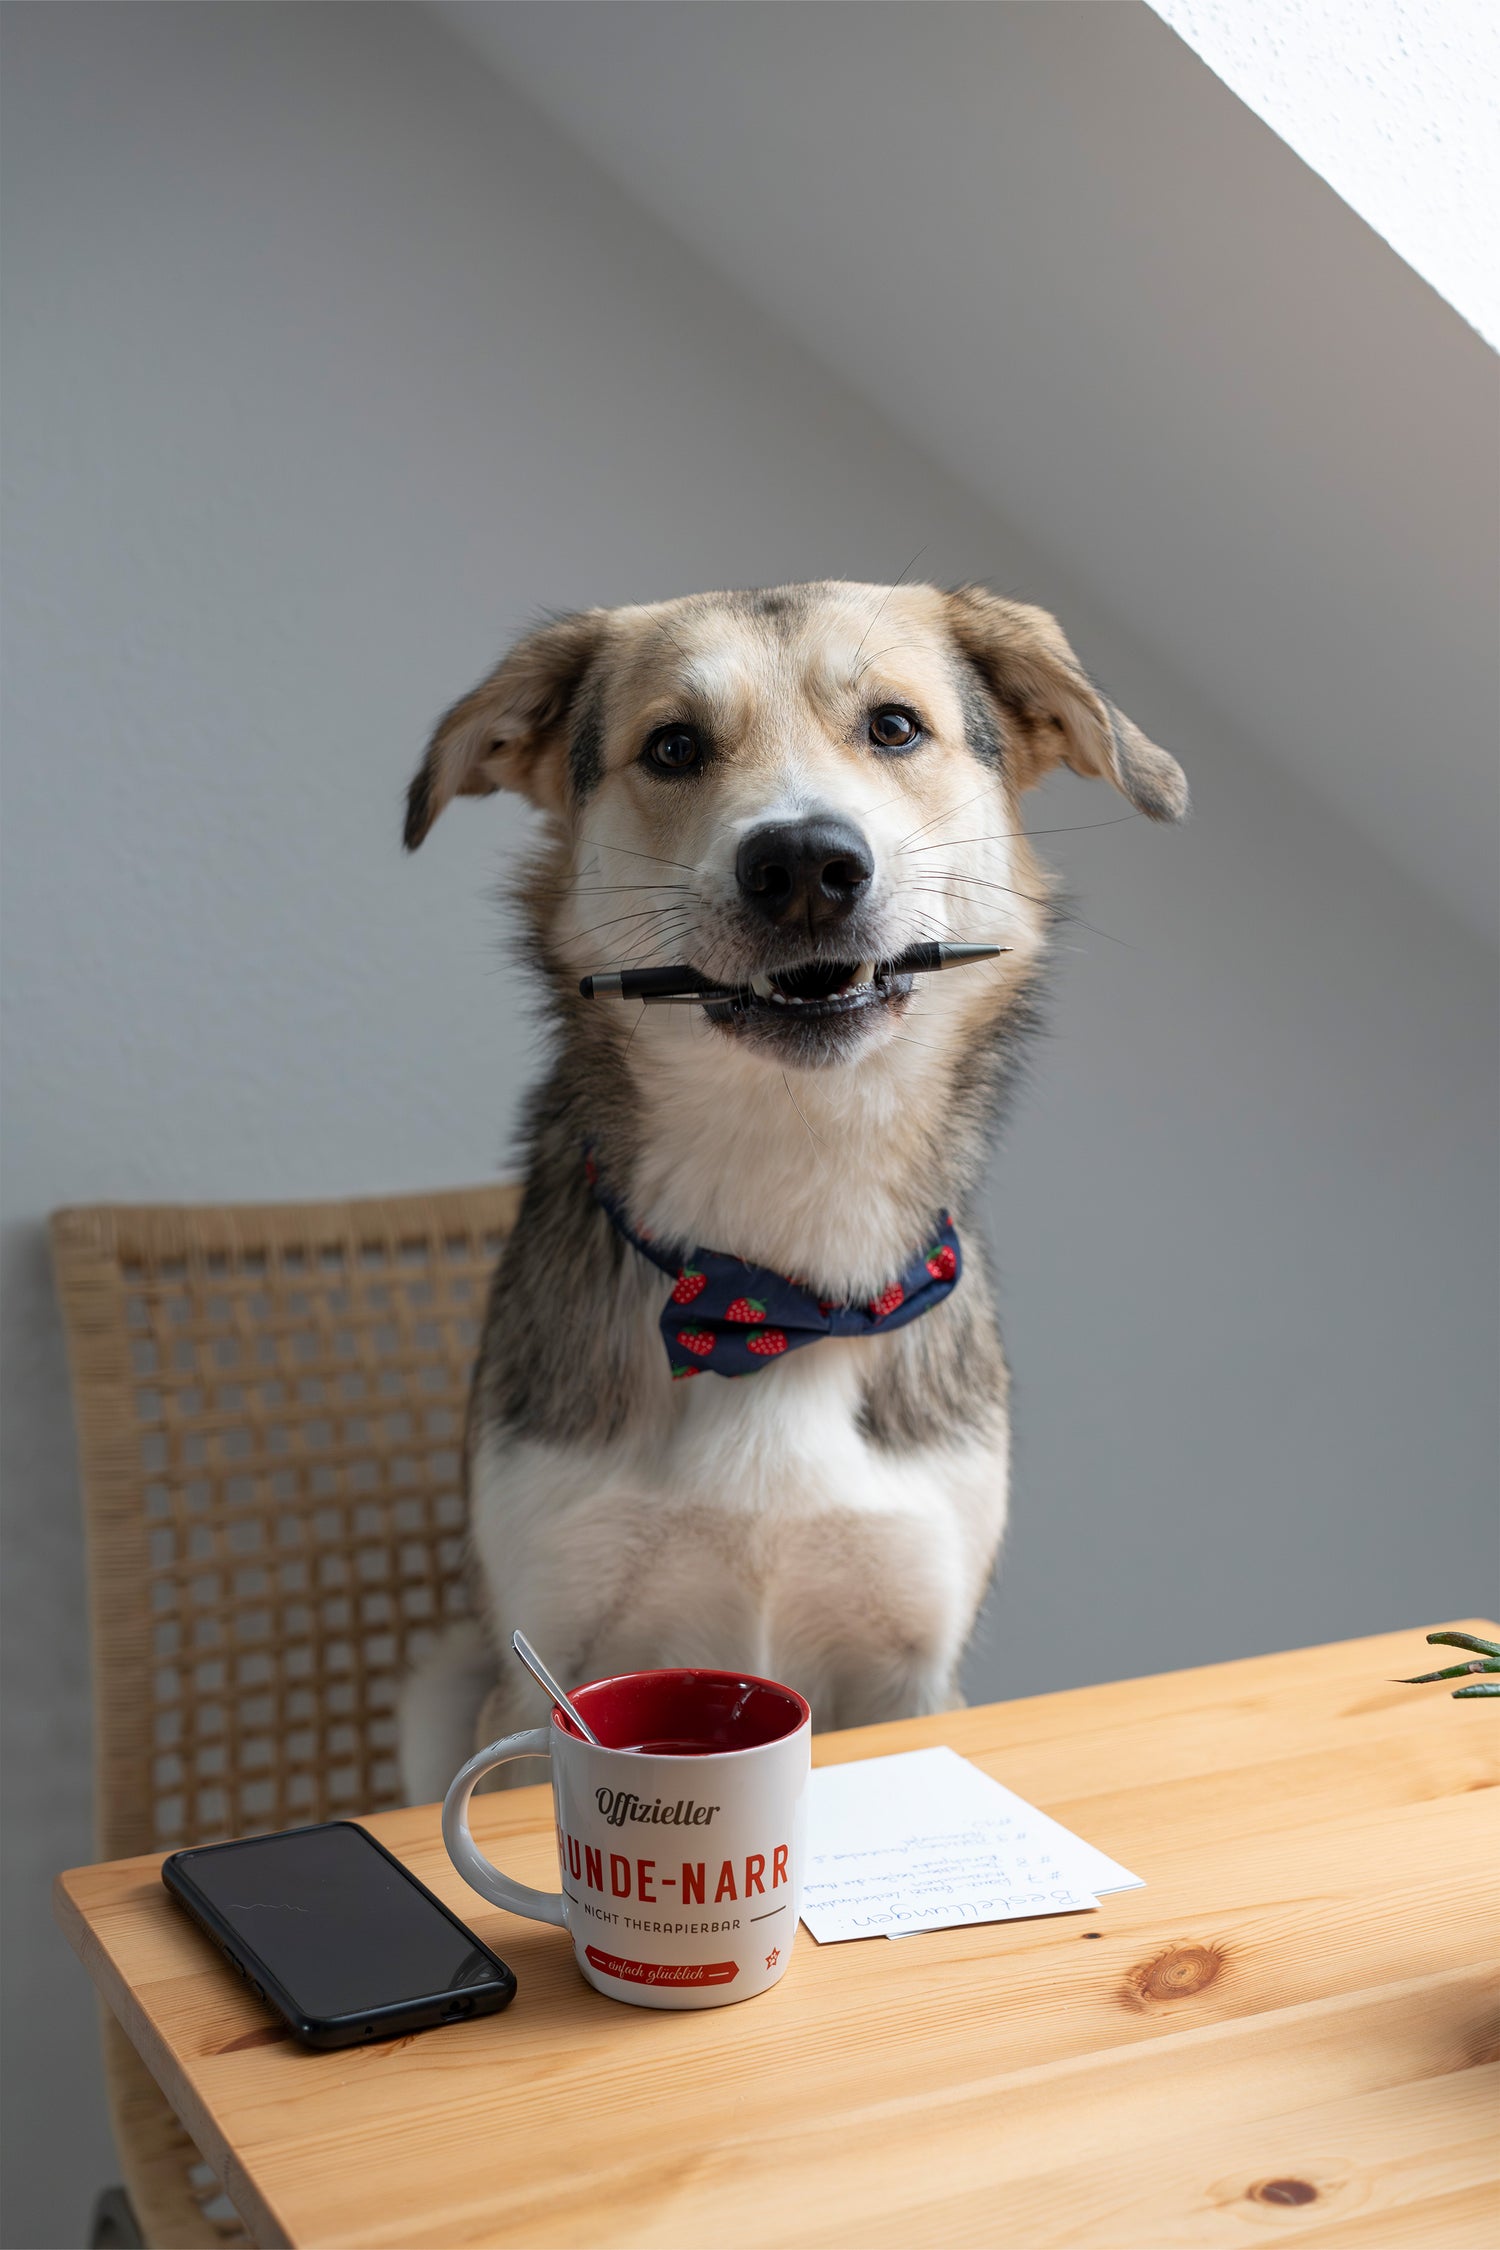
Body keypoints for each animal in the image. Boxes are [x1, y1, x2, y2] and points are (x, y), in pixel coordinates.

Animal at [395, 576, 1187, 1791]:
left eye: (895, 726)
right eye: (673, 745)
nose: (806, 865)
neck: (779, 1278)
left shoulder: (916, 1671)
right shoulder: (545, 1663)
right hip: (441, 1684)